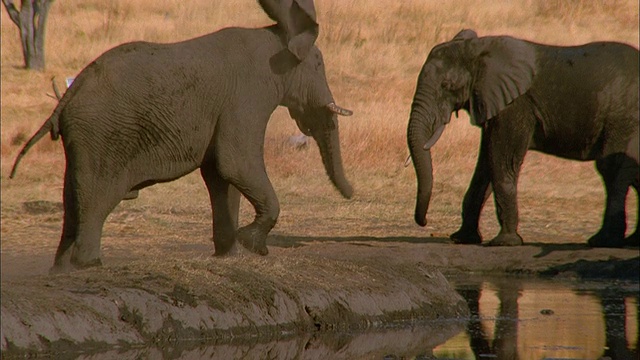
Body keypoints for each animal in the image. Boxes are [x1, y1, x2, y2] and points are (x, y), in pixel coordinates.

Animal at [408, 28, 636, 248]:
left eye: (447, 85)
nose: (424, 222)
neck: (478, 49)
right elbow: (485, 165)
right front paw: (462, 239)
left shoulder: (516, 106)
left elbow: (501, 161)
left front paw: (504, 242)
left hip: (621, 118)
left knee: (610, 167)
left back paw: (604, 241)